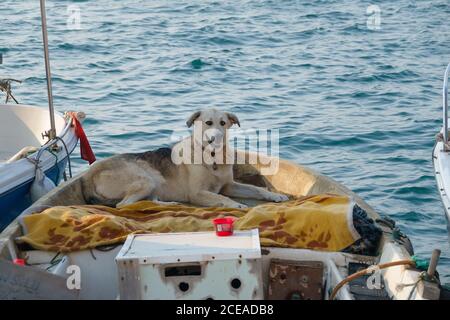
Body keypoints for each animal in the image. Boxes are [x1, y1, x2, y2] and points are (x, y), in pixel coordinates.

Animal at [81, 109, 288, 209]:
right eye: (208, 123)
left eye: (223, 123)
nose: (216, 137)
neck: (211, 157)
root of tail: (89, 175)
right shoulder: (197, 193)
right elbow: (219, 196)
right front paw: (235, 204)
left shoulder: (229, 185)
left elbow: (256, 188)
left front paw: (274, 195)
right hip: (145, 179)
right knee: (123, 204)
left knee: (145, 200)